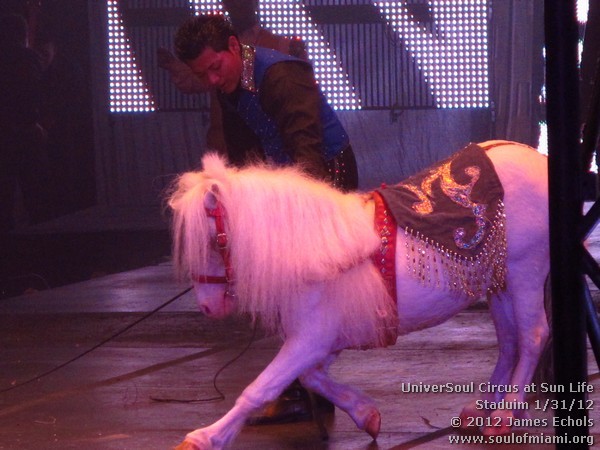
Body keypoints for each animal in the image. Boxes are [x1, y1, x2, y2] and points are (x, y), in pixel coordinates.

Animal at [167, 140, 549, 450]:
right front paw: (365, 413)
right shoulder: (327, 339)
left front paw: (206, 437)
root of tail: (537, 158)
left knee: (532, 335)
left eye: (212, 242)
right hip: (499, 282)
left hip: (524, 272)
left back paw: (506, 414)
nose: (207, 306)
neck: (310, 250)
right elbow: (312, 377)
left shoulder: (310, 339)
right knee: (509, 340)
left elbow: (259, 389)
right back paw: (482, 408)